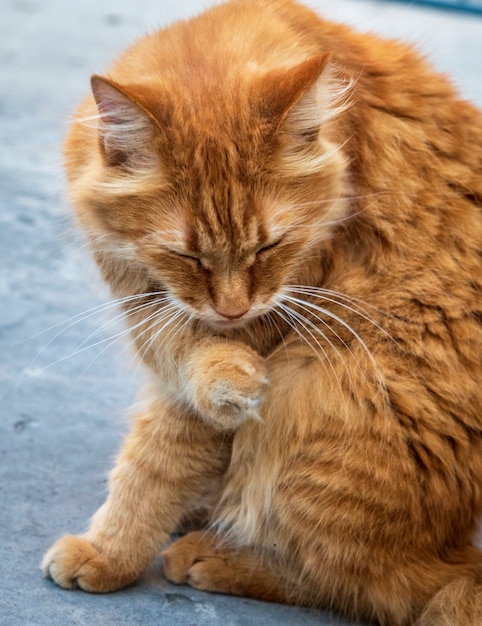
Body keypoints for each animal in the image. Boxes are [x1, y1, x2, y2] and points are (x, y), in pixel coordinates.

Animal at [41, 2, 482, 620]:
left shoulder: (264, 325)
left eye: (269, 247)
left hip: (317, 386)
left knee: (370, 584)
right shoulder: (150, 307)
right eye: (187, 255)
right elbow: (182, 369)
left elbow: (155, 462)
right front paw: (223, 376)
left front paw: (107, 553)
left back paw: (215, 556)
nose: (232, 310)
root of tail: (459, 547)